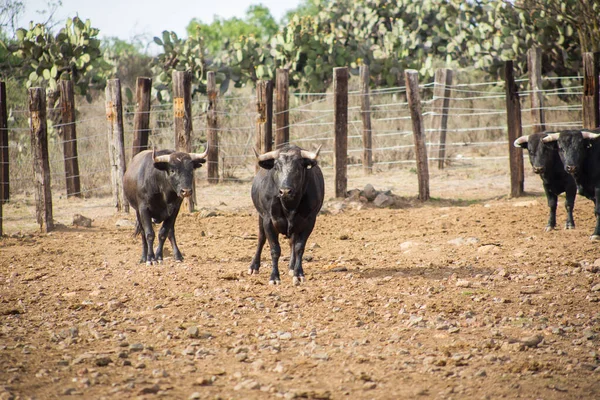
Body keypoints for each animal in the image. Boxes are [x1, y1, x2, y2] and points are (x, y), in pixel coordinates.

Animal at [247, 145, 326, 286]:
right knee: (261, 239)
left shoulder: (309, 221)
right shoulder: (268, 220)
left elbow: (299, 247)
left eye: (298, 167)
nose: (285, 191)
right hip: (260, 217)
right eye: (276, 167)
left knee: (292, 242)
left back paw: (292, 267)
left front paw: (298, 274)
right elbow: (275, 249)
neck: (289, 205)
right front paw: (274, 277)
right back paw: (254, 266)